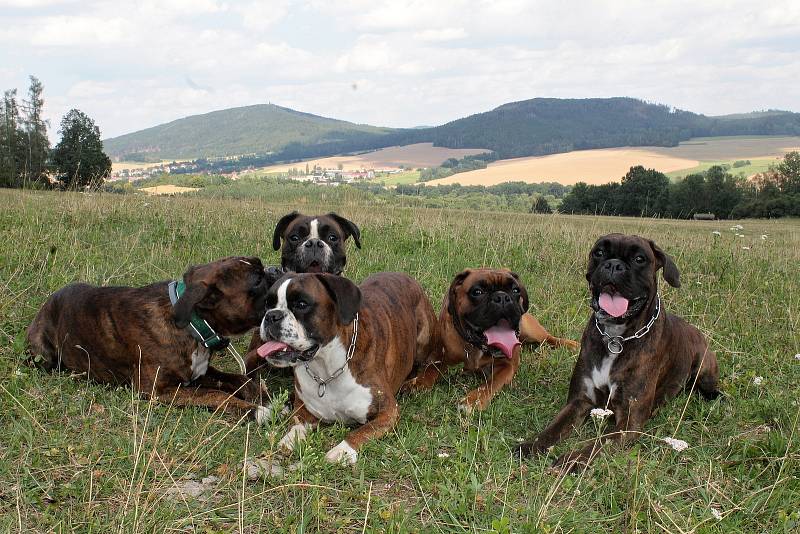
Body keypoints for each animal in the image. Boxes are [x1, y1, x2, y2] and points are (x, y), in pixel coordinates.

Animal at [27, 258, 272, 426]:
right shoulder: (159, 391)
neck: (193, 324)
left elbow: (238, 379)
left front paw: (260, 396)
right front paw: (254, 410)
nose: (273, 270)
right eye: (257, 280)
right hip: (42, 354)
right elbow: (216, 395)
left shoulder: (198, 373)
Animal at [253, 272, 440, 464]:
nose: (271, 316)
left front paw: (341, 450)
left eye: (301, 304)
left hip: (424, 341)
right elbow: (296, 423)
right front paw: (289, 438)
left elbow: (363, 431)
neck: (325, 369)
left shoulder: (388, 411)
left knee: (432, 365)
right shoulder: (304, 408)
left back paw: (417, 383)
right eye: (268, 304)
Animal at [406, 270, 576, 416]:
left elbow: (490, 383)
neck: (475, 347)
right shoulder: (439, 357)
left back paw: (572, 344)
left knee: (549, 337)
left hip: (531, 330)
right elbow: (430, 370)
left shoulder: (506, 366)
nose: (502, 297)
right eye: (477, 292)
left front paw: (473, 401)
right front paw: (418, 382)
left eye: (515, 290)